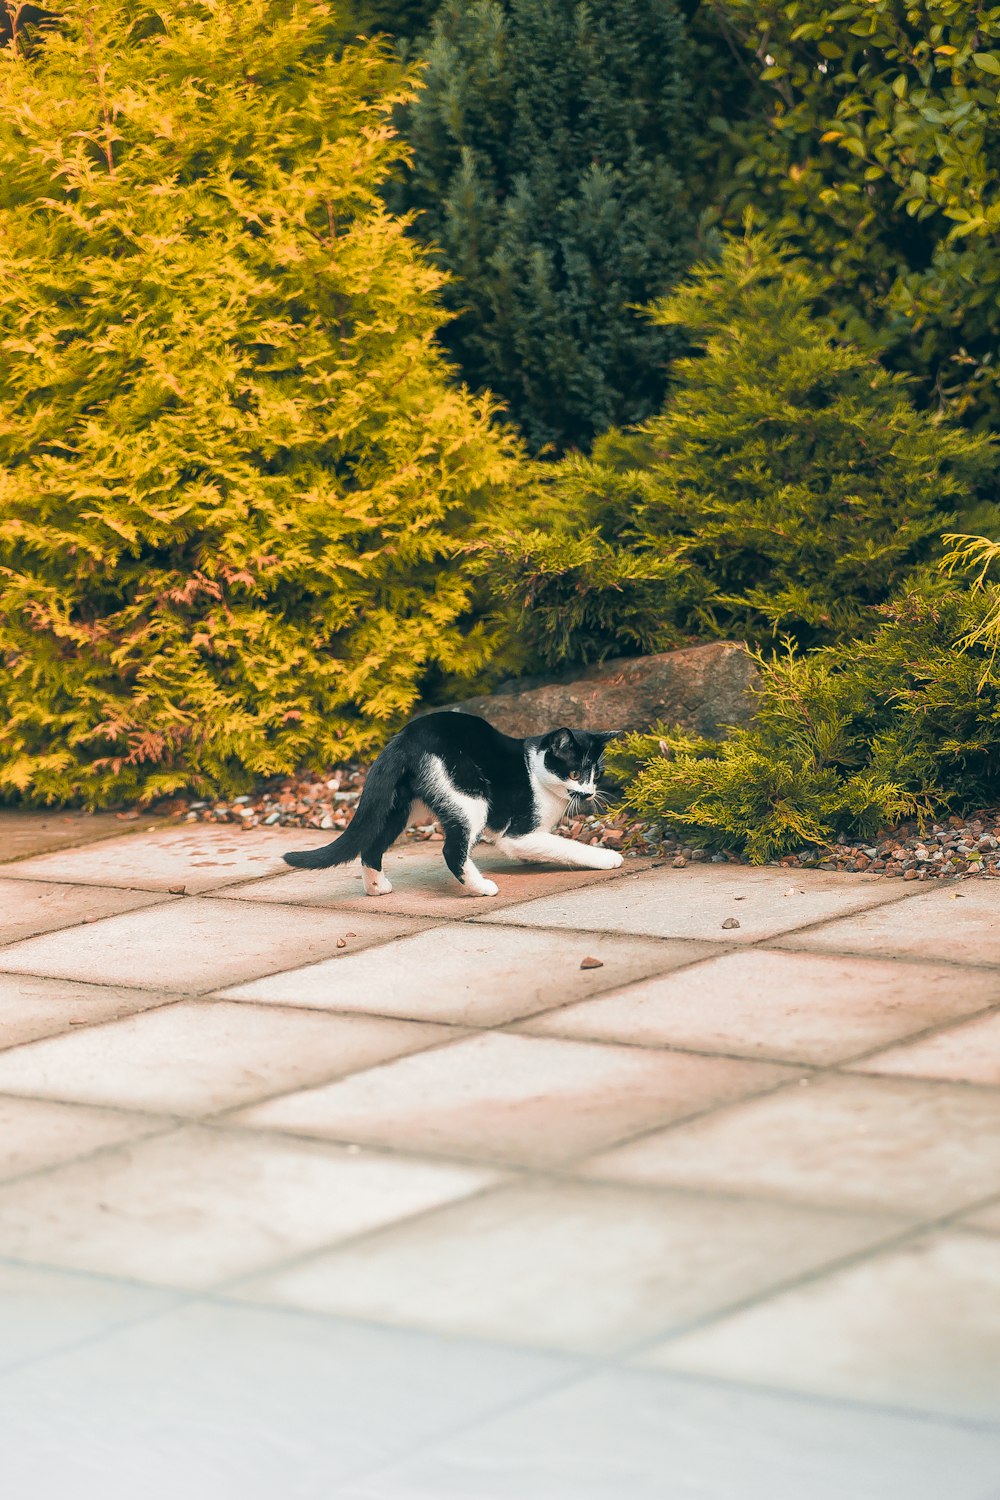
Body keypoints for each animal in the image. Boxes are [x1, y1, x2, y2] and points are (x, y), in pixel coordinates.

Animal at [284, 708, 620, 894]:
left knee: (371, 844)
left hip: (399, 807)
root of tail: (405, 737)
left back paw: (377, 888)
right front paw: (607, 858)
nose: (589, 793)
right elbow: (566, 845)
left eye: (597, 774)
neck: (535, 770)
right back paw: (481, 887)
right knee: (451, 850)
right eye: (575, 772)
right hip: (470, 794)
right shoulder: (518, 834)